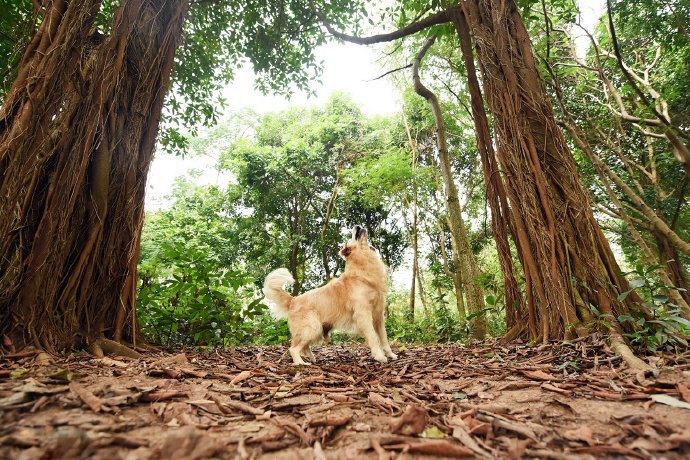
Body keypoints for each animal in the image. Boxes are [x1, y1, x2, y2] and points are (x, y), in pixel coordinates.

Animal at [260, 225, 396, 364]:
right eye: (351, 237)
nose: (356, 226)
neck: (361, 269)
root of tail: (293, 300)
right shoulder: (364, 315)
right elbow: (374, 337)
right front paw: (380, 356)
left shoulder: (379, 316)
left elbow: (384, 338)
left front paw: (391, 354)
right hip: (311, 328)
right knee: (293, 348)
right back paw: (300, 363)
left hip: (316, 330)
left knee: (304, 347)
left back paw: (312, 358)